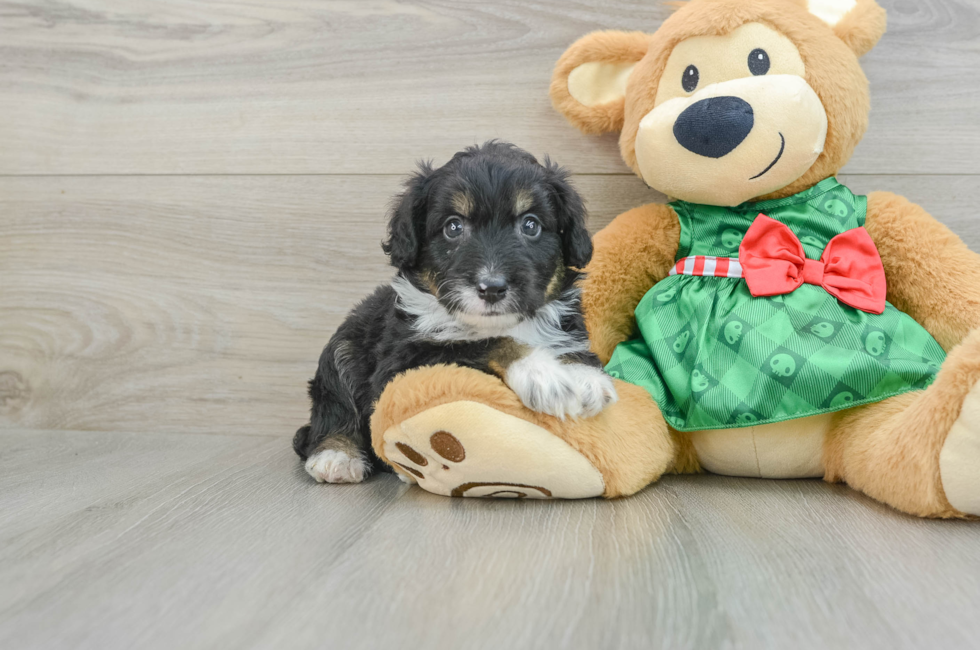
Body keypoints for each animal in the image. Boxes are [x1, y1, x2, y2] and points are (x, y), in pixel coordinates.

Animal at [290, 140, 616, 480]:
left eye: (531, 225)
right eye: (453, 227)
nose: (492, 288)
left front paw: (585, 376)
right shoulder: (404, 362)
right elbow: (484, 343)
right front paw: (542, 374)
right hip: (340, 349)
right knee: (332, 407)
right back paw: (337, 455)